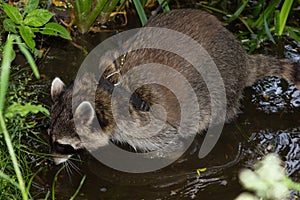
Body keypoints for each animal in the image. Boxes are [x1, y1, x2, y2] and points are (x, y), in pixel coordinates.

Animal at [48, 8, 298, 164]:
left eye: (62, 146)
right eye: (49, 137)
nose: (53, 162)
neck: (108, 88)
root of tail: (243, 60)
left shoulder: (154, 127)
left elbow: (172, 148)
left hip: (223, 90)